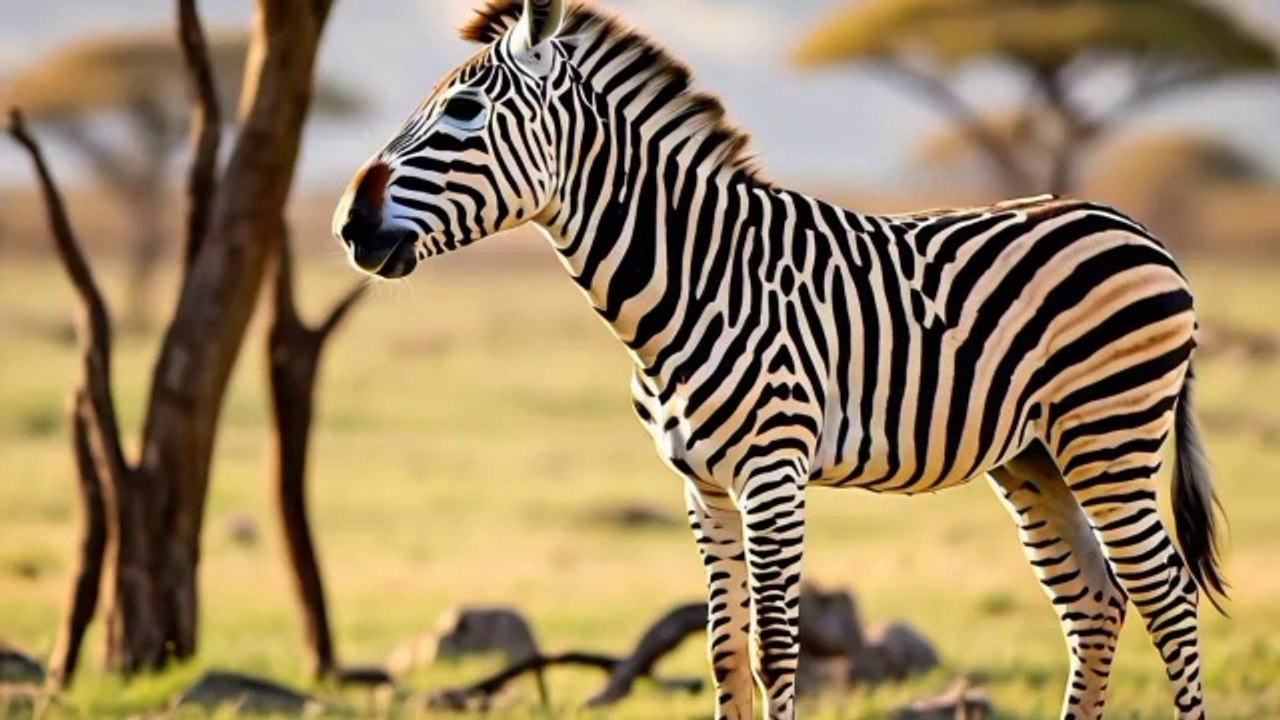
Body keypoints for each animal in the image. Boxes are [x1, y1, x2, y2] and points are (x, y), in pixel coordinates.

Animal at [333, 1, 1228, 718]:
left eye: (463, 111)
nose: (348, 224)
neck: (695, 274)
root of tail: (1139, 230)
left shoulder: (773, 472)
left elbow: (774, 648)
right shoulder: (703, 486)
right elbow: (724, 651)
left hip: (1109, 434)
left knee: (1167, 598)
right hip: (1036, 455)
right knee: (1096, 605)